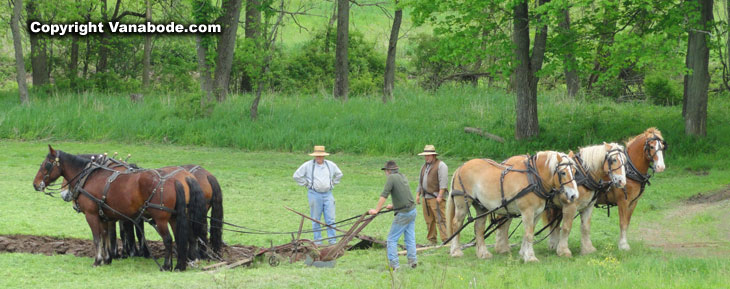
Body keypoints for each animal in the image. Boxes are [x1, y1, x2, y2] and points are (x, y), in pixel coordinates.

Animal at [32, 146, 205, 270]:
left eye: (46, 164)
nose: (35, 184)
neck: (89, 176)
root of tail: (176, 180)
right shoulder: (104, 216)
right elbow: (105, 236)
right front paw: (107, 259)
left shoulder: (92, 214)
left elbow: (97, 238)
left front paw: (97, 260)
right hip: (175, 217)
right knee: (181, 237)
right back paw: (180, 265)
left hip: (161, 218)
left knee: (168, 240)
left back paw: (167, 265)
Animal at [446, 151, 576, 260]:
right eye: (563, 172)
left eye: (574, 171)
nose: (574, 195)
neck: (533, 179)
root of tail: (461, 167)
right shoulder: (527, 212)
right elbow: (529, 234)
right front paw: (530, 257)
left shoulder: (537, 213)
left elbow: (528, 233)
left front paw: (524, 253)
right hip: (462, 204)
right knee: (456, 224)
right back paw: (456, 251)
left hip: (481, 206)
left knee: (479, 228)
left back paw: (483, 253)